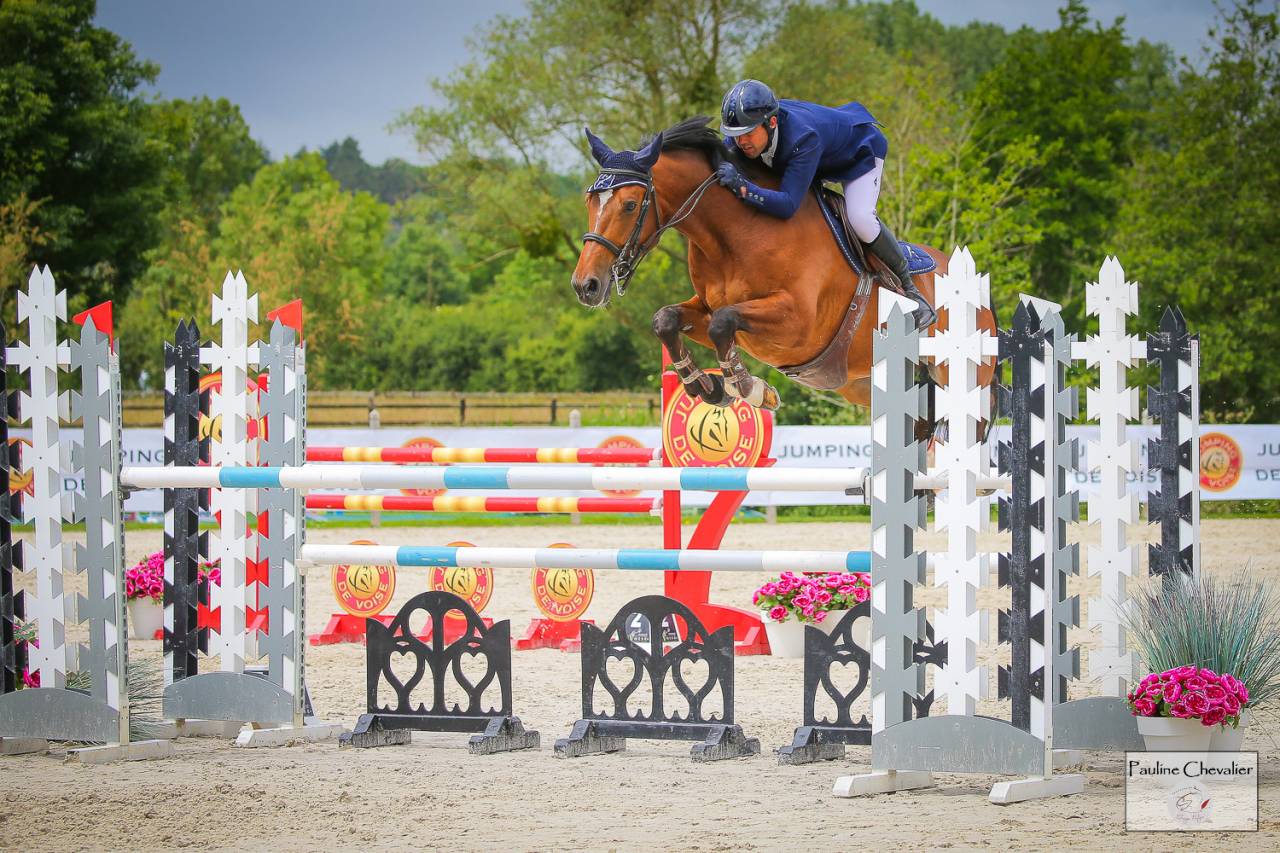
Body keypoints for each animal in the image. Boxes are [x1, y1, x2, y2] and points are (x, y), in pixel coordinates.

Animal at [569, 116, 999, 440]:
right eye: (589, 200)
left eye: (629, 205)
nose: (586, 286)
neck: (735, 232)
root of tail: (983, 297)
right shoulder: (708, 308)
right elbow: (667, 319)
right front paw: (706, 387)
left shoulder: (798, 324)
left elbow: (724, 323)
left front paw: (752, 390)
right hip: (866, 385)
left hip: (962, 380)